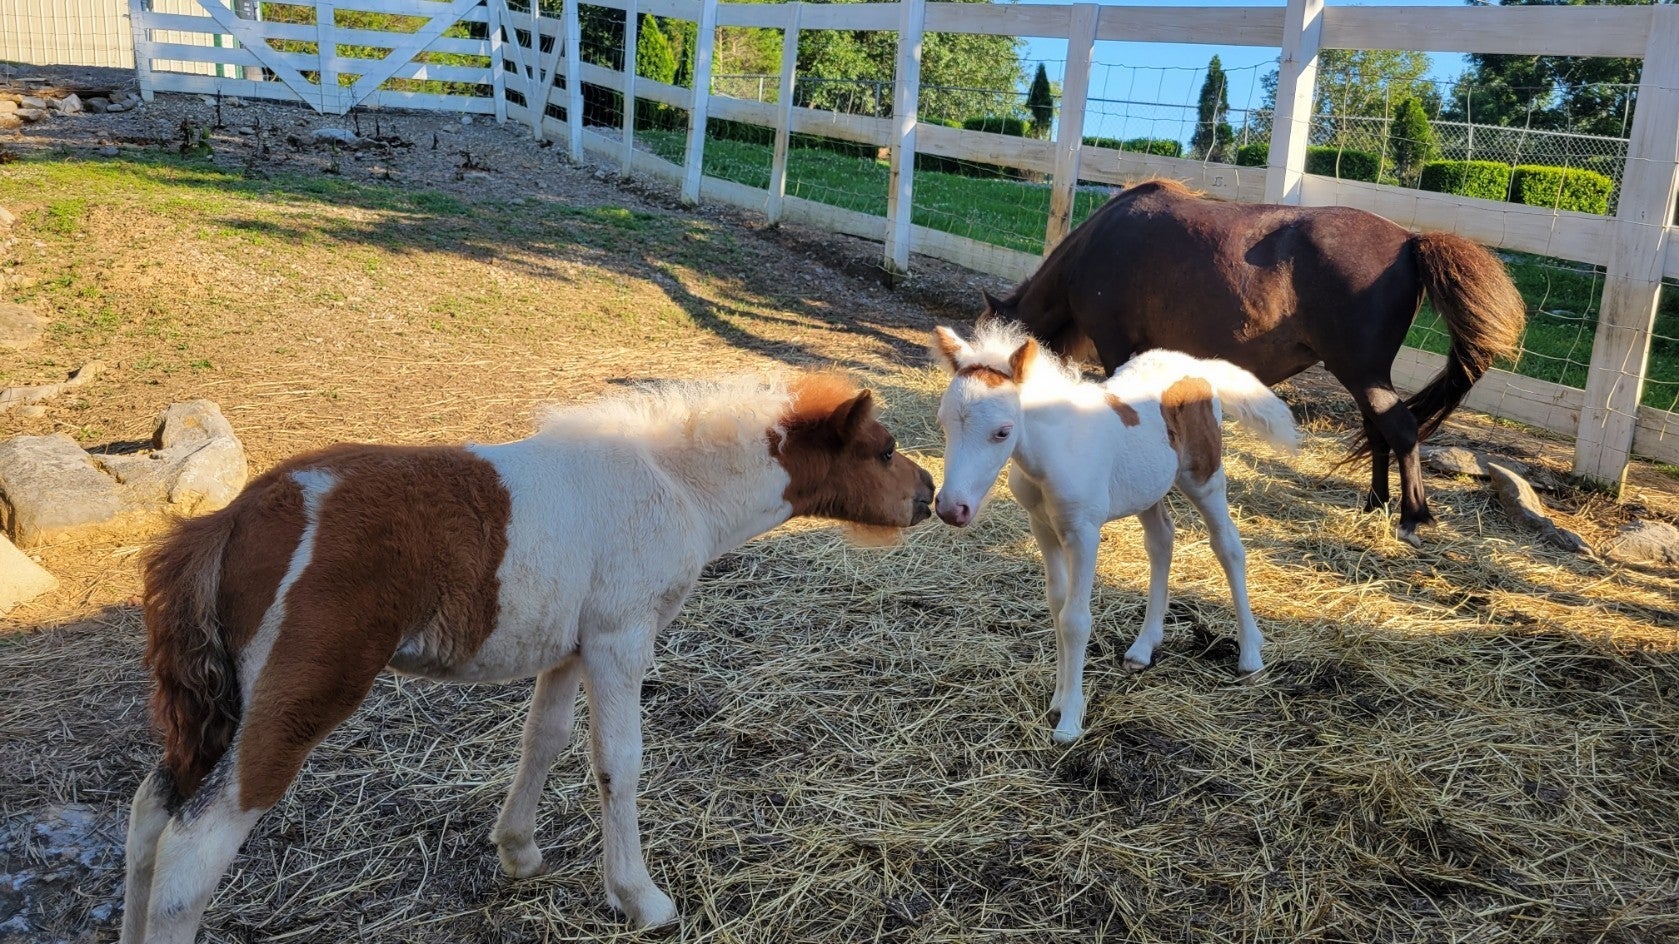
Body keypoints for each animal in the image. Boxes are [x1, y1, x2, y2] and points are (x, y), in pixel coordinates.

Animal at [121, 371, 935, 943]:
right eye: (885, 450)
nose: (931, 493)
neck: (672, 483)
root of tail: (235, 516)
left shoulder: (570, 647)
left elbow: (543, 740)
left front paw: (517, 852)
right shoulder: (619, 639)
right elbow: (617, 763)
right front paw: (639, 897)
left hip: (224, 705)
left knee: (150, 817)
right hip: (303, 694)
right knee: (191, 849)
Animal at [930, 322, 1299, 743]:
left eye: (1003, 432)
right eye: (943, 423)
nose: (950, 508)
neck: (1055, 450)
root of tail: (1198, 366)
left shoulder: (1083, 533)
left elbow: (1075, 619)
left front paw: (1070, 721)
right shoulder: (1042, 526)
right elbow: (1057, 605)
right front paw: (1058, 700)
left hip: (1204, 478)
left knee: (1228, 547)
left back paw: (1251, 655)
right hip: (1147, 489)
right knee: (1161, 541)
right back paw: (1143, 647)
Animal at [982, 178, 1525, 547]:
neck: (1098, 243)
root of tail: (1411, 242)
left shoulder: (1119, 347)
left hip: (1360, 372)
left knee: (1402, 431)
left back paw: (1412, 517)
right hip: (1363, 377)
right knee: (1380, 432)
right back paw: (1375, 504)